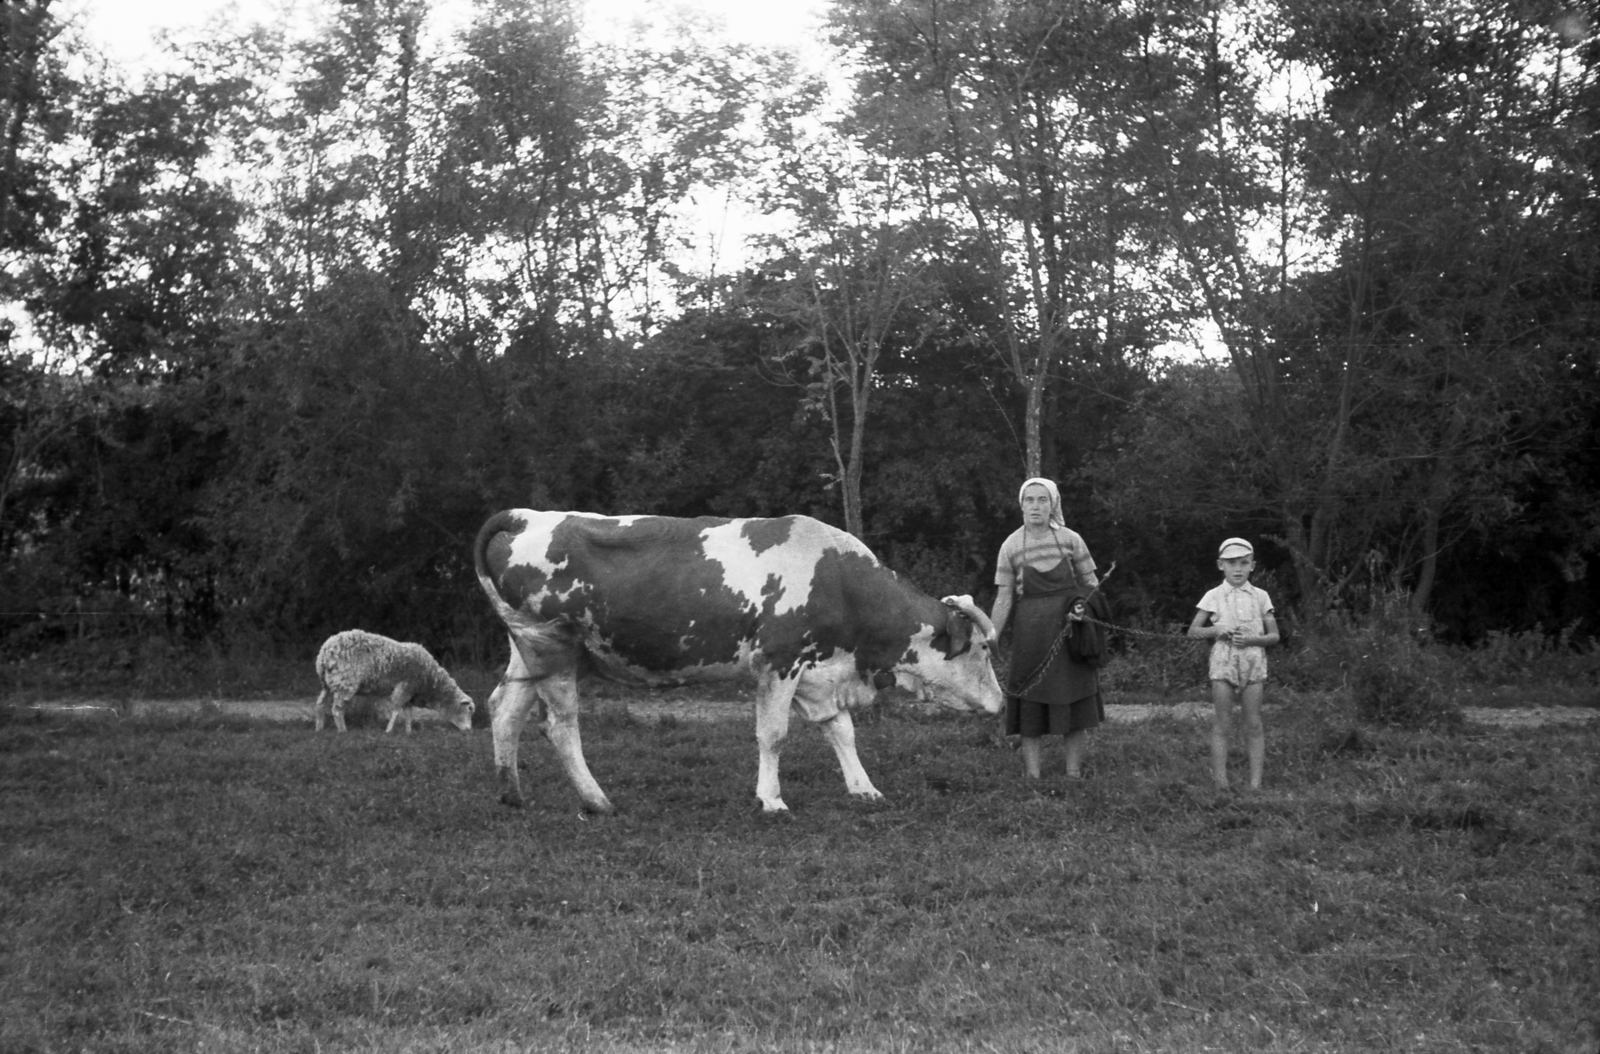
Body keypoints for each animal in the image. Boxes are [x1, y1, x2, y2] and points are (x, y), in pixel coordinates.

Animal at [313, 630, 475, 733]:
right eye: (469, 709)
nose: (469, 730)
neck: (430, 680)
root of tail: (324, 653)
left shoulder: (410, 692)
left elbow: (408, 712)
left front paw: (409, 732)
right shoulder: (405, 686)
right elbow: (396, 710)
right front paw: (389, 731)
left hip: (328, 683)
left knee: (320, 704)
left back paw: (319, 728)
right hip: (345, 683)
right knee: (337, 709)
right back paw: (342, 731)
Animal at [473, 509, 1003, 814]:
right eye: (982, 648)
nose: (1000, 702)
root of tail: (526, 516)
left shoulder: (818, 673)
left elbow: (841, 730)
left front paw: (863, 788)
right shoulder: (780, 662)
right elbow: (773, 734)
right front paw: (771, 799)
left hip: (529, 650)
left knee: (505, 709)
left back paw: (511, 792)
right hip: (556, 647)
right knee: (560, 725)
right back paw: (597, 800)